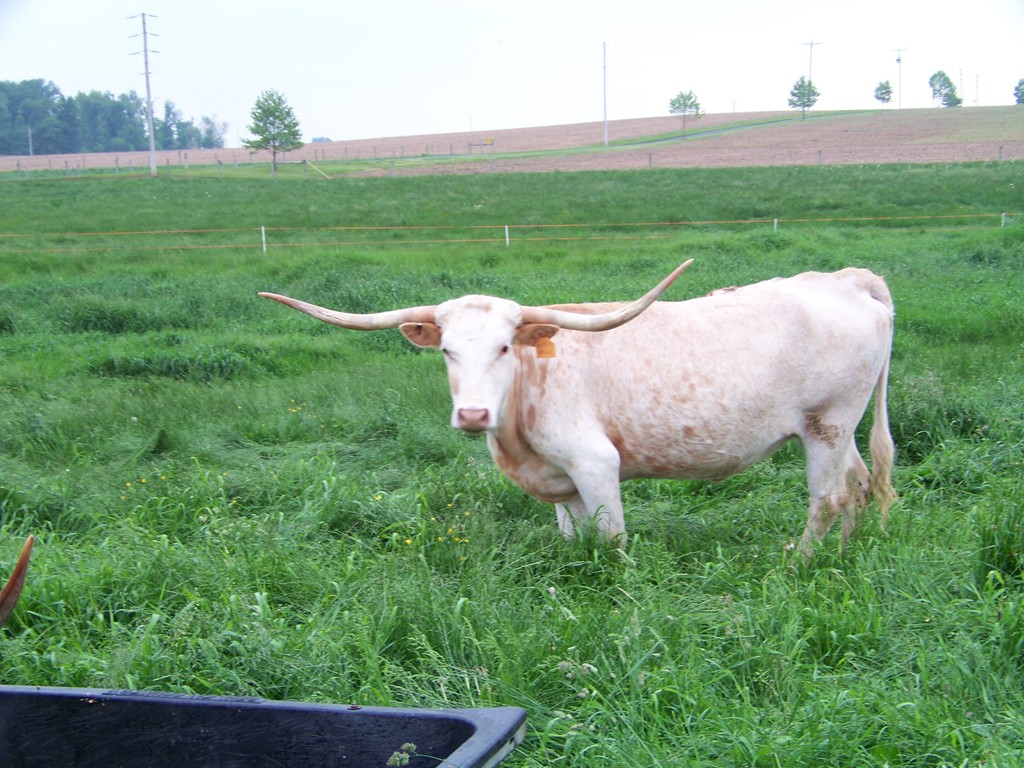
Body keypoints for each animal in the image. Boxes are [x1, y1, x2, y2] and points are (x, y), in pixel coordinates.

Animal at [260, 261, 896, 559]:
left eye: (504, 347)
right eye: (446, 350)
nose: (472, 415)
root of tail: (848, 279)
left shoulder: (595, 464)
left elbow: (611, 541)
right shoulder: (560, 480)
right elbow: (573, 536)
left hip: (826, 424)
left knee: (828, 498)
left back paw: (798, 564)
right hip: (838, 429)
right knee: (860, 485)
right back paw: (847, 552)